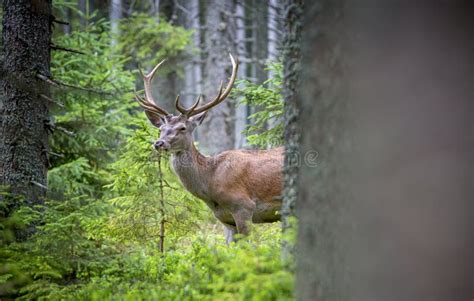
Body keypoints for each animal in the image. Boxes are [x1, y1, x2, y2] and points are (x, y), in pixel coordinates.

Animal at [134, 52, 282, 243]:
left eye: (182, 128)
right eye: (161, 129)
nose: (159, 143)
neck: (211, 180)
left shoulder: (244, 207)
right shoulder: (225, 220)